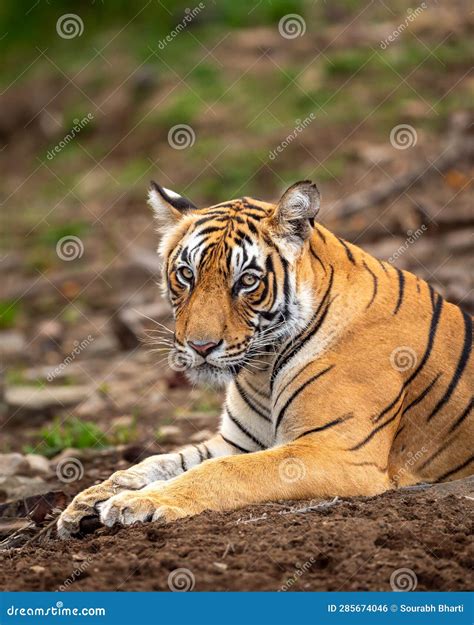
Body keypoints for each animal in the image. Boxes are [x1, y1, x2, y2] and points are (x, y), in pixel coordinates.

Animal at [57, 179, 472, 536]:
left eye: (247, 281)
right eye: (186, 274)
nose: (200, 346)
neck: (262, 367)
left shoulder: (337, 450)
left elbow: (221, 471)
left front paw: (136, 502)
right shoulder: (240, 440)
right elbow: (161, 462)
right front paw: (88, 500)